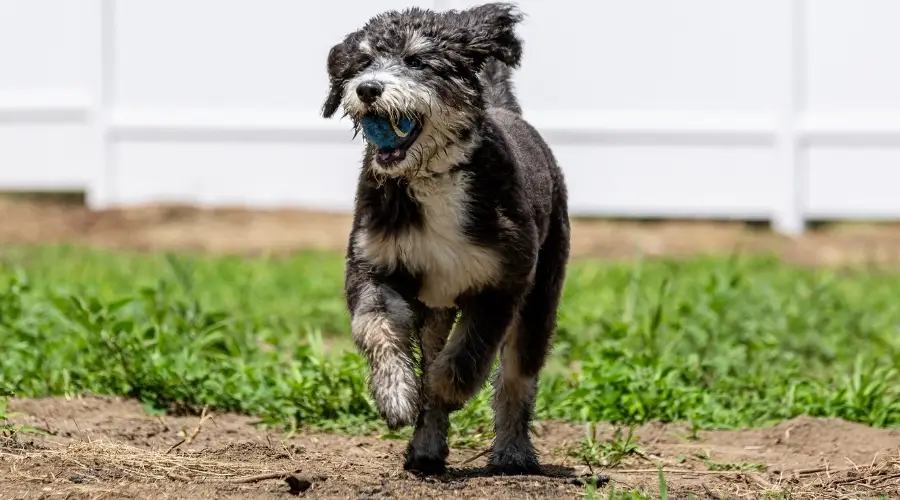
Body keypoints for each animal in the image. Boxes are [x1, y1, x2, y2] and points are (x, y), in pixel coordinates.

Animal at [320, 0, 568, 476]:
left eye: (417, 61)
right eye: (362, 63)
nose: (368, 89)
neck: (432, 177)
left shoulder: (504, 280)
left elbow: (471, 353)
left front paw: (447, 387)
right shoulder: (372, 265)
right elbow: (376, 326)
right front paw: (397, 394)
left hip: (542, 294)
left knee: (517, 376)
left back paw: (513, 452)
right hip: (436, 310)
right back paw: (426, 446)